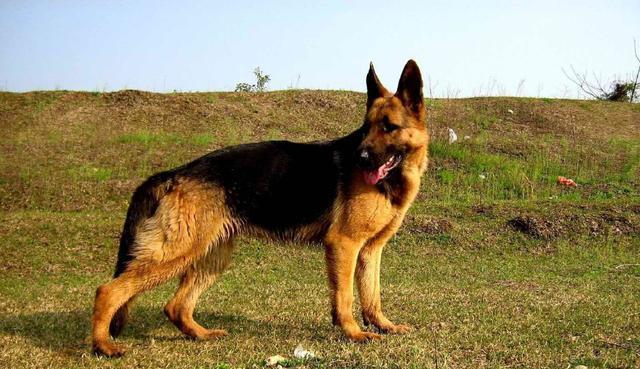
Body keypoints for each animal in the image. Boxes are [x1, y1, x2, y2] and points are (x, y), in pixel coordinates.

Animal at [91, 59, 430, 356]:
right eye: (366, 128)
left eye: (389, 127)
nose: (360, 158)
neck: (395, 178)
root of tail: (176, 173)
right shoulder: (343, 245)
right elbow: (345, 297)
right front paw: (353, 333)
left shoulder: (371, 250)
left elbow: (372, 295)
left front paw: (383, 326)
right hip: (173, 254)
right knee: (108, 291)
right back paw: (104, 345)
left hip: (211, 257)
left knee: (175, 306)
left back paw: (200, 334)